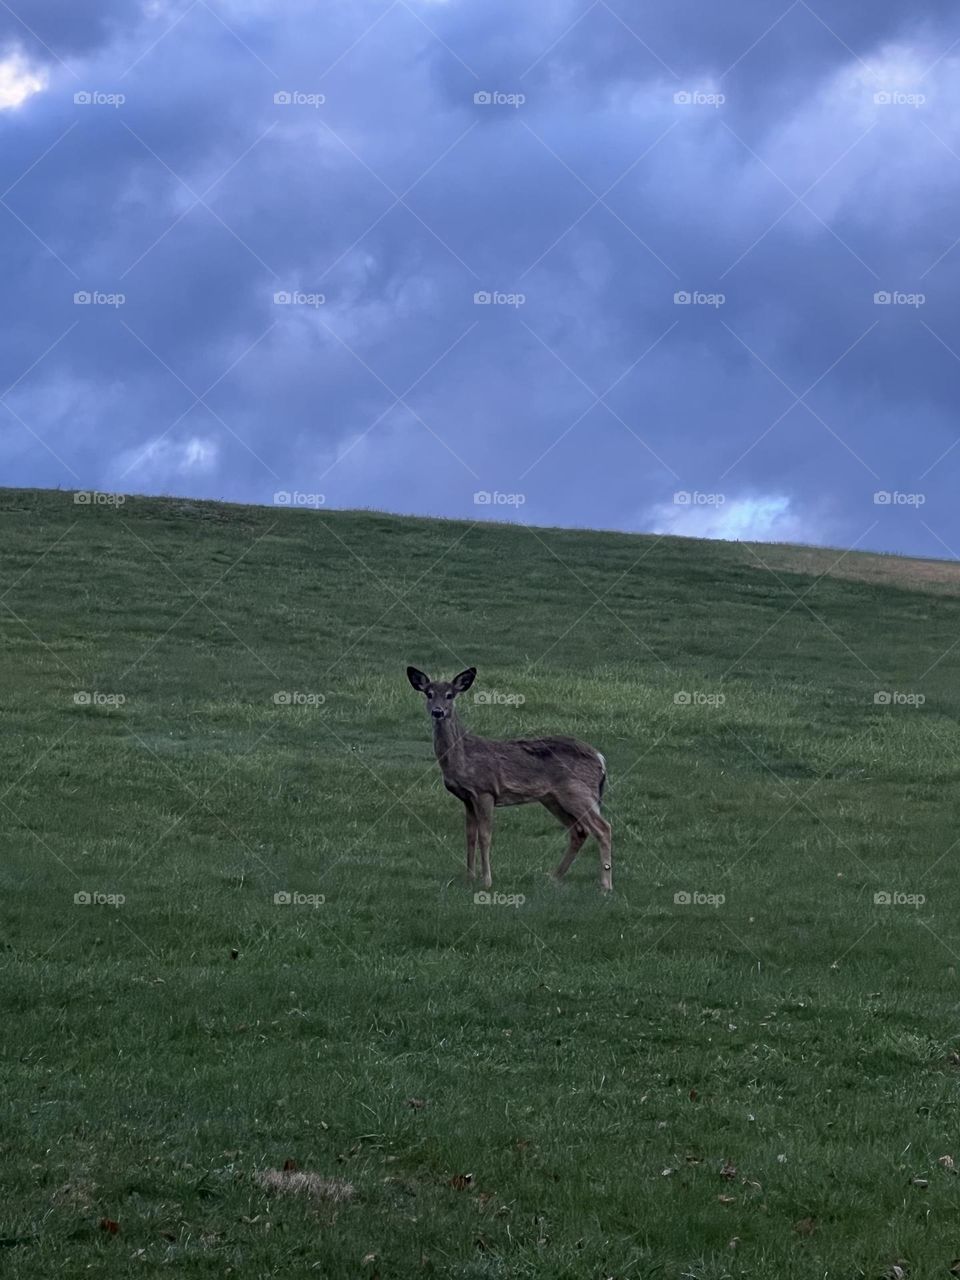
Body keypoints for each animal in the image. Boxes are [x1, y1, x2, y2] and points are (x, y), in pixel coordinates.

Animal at [406, 666, 613, 891]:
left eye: (450, 695)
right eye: (429, 693)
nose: (438, 711)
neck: (463, 757)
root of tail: (600, 758)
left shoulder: (485, 791)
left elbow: (485, 836)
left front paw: (487, 881)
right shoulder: (467, 798)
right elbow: (470, 835)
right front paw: (469, 878)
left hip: (578, 791)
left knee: (603, 828)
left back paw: (605, 885)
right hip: (553, 798)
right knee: (579, 830)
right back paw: (554, 877)